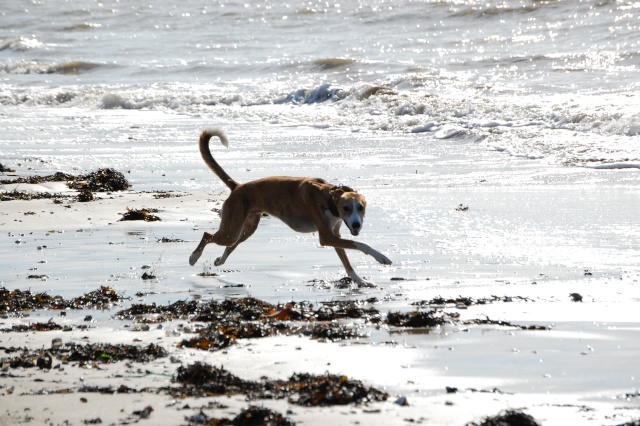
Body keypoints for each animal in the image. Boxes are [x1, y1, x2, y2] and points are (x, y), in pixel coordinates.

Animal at [188, 127, 392, 286]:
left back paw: (219, 260)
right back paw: (193, 257)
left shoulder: (335, 234)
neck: (329, 198)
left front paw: (360, 281)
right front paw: (381, 257)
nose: (357, 225)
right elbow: (360, 244)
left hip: (245, 228)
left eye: (362, 207)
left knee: (231, 245)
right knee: (208, 235)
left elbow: (347, 263)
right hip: (232, 227)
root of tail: (237, 186)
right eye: (346, 208)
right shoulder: (327, 237)